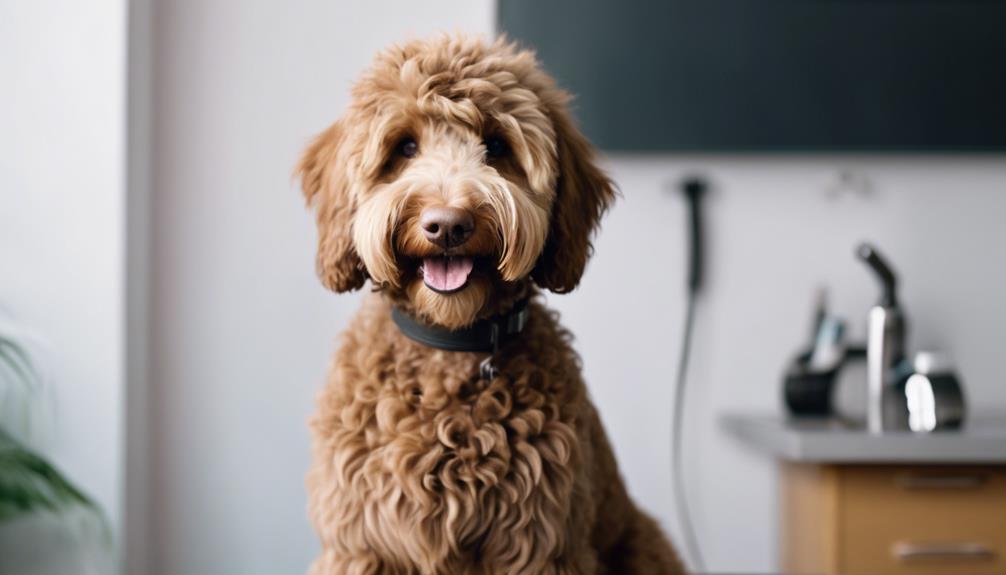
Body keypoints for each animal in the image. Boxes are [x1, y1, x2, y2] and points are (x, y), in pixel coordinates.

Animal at [293, 35, 684, 575]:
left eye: (497, 146)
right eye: (405, 146)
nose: (448, 224)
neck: (449, 350)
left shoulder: (541, 548)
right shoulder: (361, 546)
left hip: (645, 544)